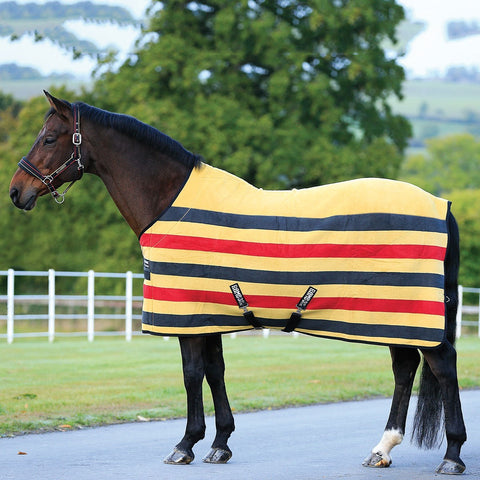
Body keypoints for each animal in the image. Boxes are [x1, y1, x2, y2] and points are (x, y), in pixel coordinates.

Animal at [8, 92, 464, 474]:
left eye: (49, 138)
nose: (16, 192)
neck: (170, 202)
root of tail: (441, 206)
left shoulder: (187, 315)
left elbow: (192, 374)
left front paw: (185, 445)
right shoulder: (208, 315)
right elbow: (215, 372)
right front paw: (220, 444)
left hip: (408, 313)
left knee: (442, 366)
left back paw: (452, 455)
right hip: (394, 316)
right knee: (405, 369)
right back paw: (381, 449)